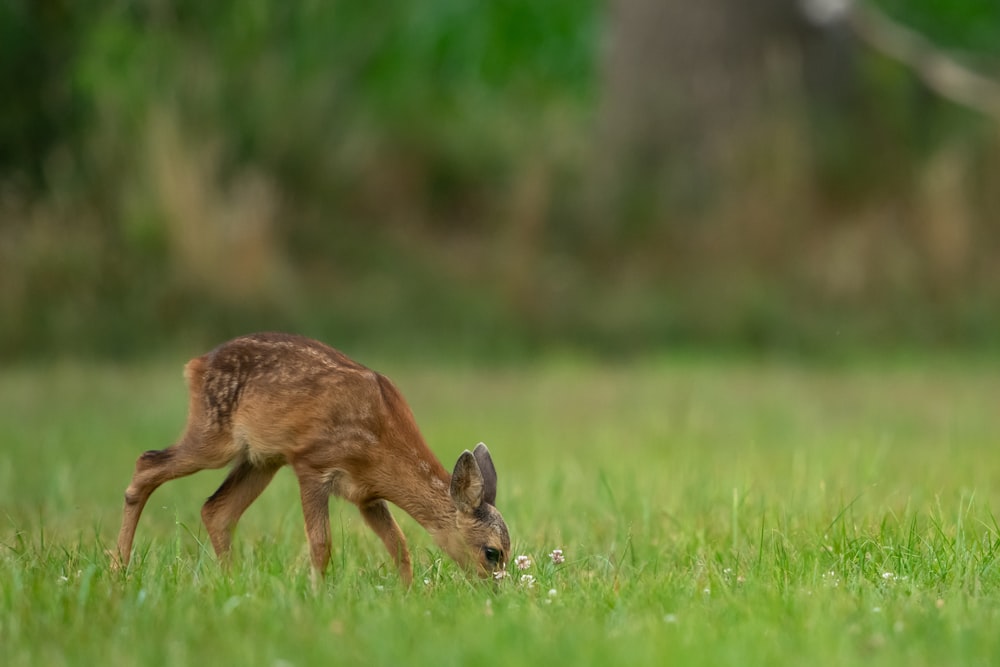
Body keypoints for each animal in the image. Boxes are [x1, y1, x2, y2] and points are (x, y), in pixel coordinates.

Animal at [113, 334, 512, 584]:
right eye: (492, 552)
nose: (495, 592)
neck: (381, 444)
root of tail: (195, 365)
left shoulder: (366, 495)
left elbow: (399, 546)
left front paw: (406, 595)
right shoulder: (312, 464)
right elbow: (321, 544)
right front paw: (317, 595)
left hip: (262, 460)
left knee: (216, 509)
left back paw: (231, 582)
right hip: (214, 438)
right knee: (147, 462)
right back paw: (119, 568)